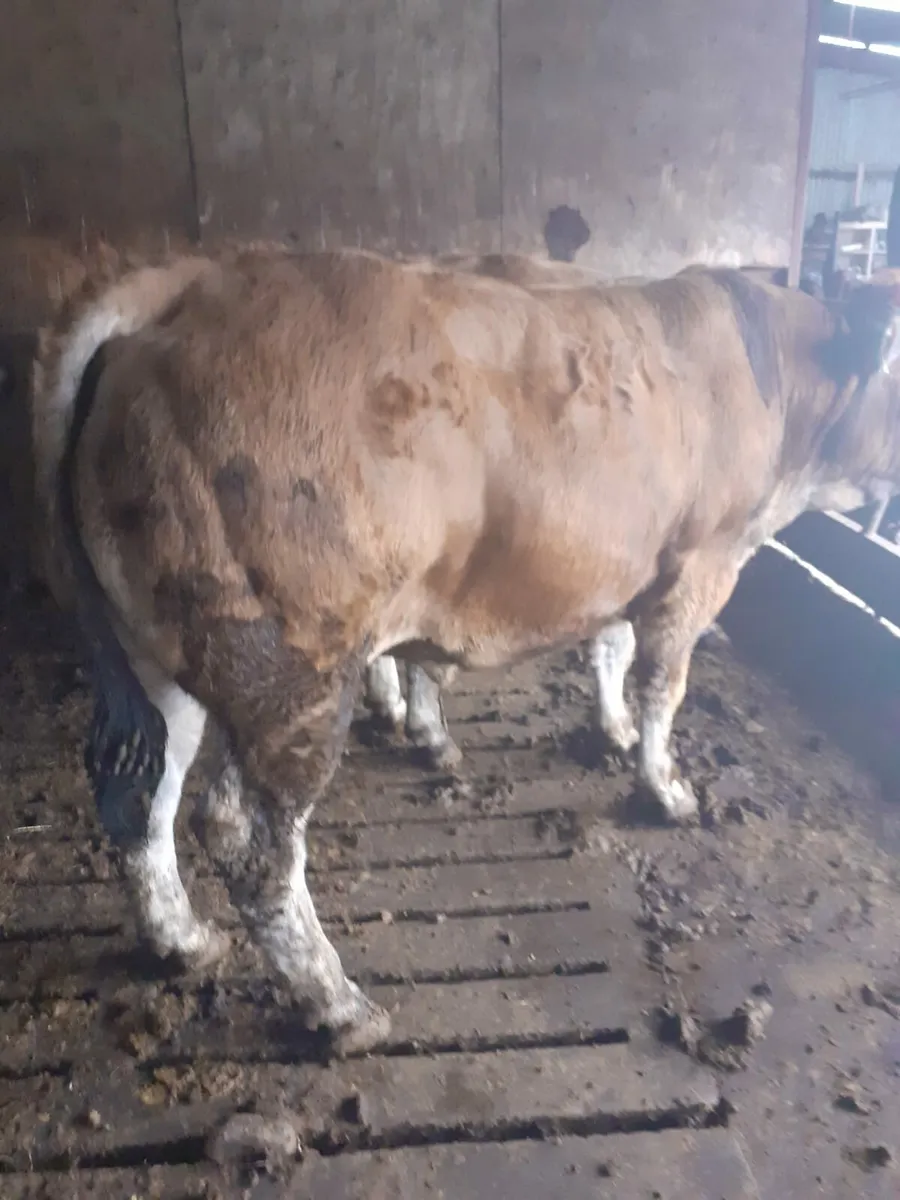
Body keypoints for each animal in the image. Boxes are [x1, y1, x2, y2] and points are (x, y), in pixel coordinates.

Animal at [33, 244, 900, 1053]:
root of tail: (184, 287)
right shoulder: (702, 562)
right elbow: (664, 685)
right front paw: (665, 788)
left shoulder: (627, 562)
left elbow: (611, 651)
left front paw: (612, 731)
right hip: (295, 668)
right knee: (248, 837)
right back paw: (336, 1002)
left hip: (157, 653)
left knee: (143, 787)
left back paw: (180, 939)